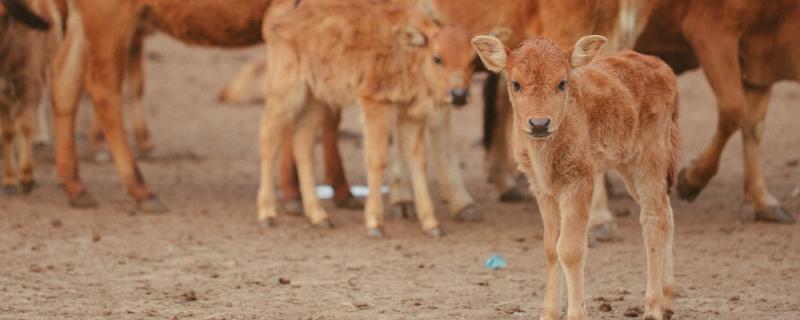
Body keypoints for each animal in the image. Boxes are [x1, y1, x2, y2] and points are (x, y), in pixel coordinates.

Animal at [0, 0, 62, 195]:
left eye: (5, 16)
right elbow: (7, 132)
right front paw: (9, 179)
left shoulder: (30, 85)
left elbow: (25, 126)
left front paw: (27, 178)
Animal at [260, 0, 478, 238]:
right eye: (437, 58)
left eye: (473, 61)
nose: (459, 95)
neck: (408, 50)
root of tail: (276, 13)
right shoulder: (376, 105)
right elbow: (377, 159)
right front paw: (375, 224)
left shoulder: (410, 116)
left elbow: (418, 161)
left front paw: (431, 225)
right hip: (286, 92)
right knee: (268, 139)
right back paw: (267, 215)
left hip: (317, 100)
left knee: (302, 143)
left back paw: (319, 217)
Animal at [476, 34, 680, 320]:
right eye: (516, 84)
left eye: (562, 83)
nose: (539, 124)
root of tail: (664, 68)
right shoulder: (542, 189)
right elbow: (551, 247)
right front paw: (549, 313)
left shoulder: (579, 182)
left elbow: (570, 249)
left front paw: (575, 313)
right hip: (629, 166)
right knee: (666, 211)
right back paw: (668, 299)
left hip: (650, 160)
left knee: (654, 220)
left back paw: (652, 308)